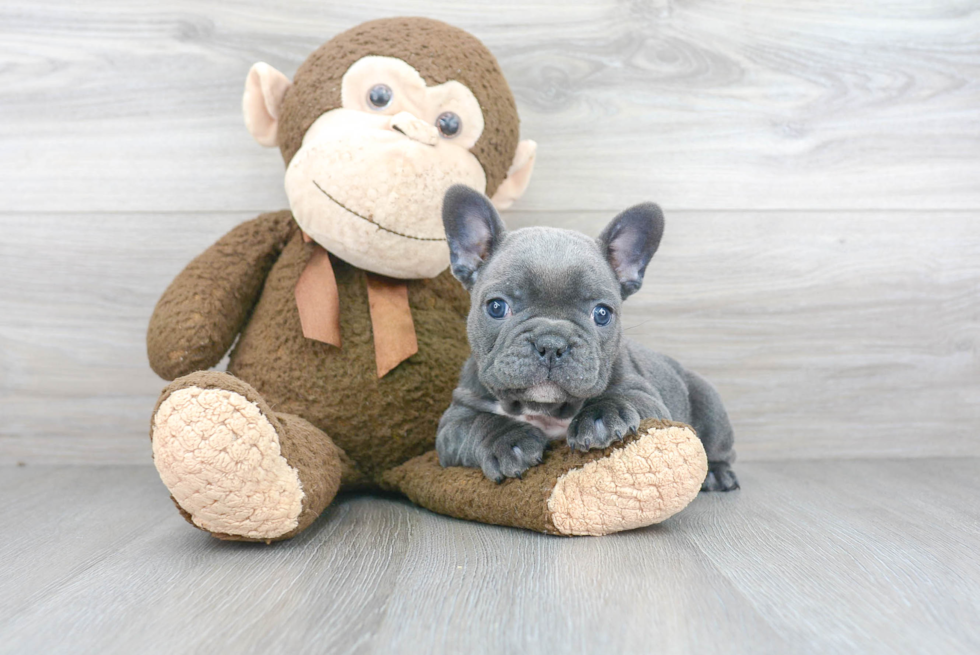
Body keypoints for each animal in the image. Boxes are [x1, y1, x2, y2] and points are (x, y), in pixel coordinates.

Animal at [432, 184, 740, 492]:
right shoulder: (452, 424)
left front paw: (601, 415)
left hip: (709, 404)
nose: (552, 343)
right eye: (497, 307)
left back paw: (718, 474)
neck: (546, 410)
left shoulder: (649, 399)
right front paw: (508, 440)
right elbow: (478, 424)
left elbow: (625, 397)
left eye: (601, 314)